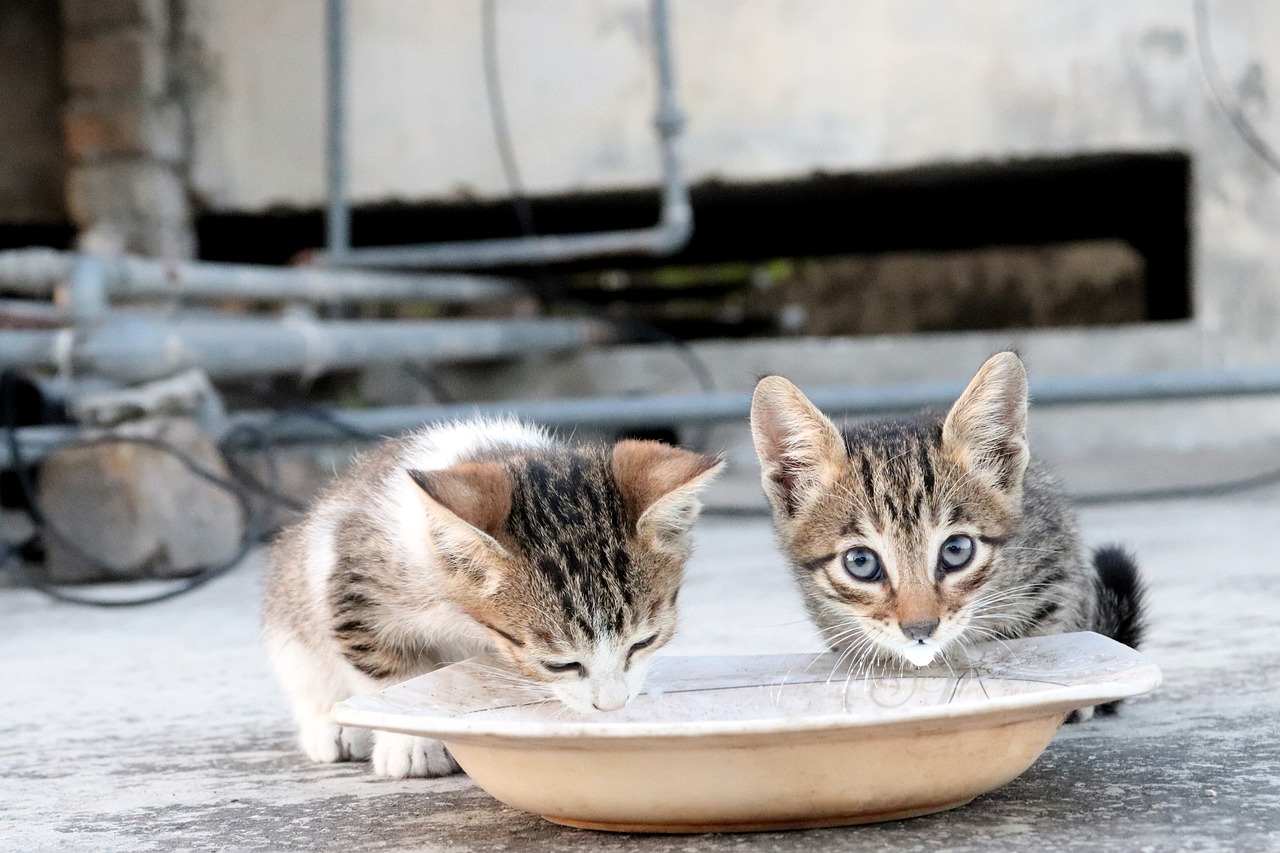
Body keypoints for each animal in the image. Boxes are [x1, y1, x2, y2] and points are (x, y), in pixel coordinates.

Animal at [262, 414, 721, 773]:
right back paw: (331, 727)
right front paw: (411, 741)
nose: (613, 707)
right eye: (559, 664)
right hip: (292, 608)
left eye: (644, 642)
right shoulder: (354, 580)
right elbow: (382, 666)